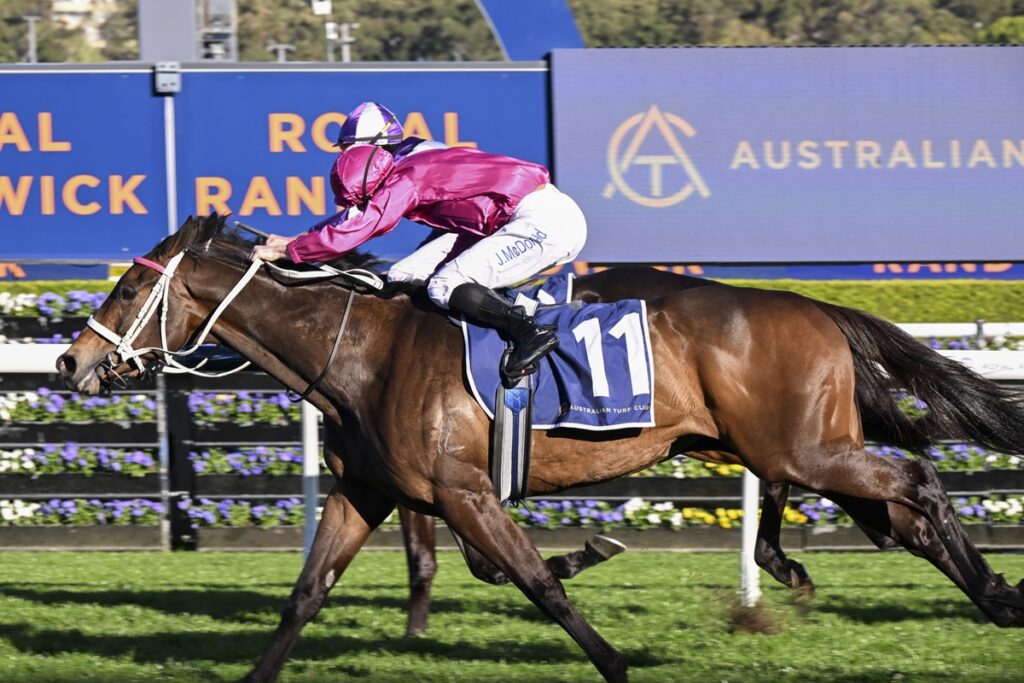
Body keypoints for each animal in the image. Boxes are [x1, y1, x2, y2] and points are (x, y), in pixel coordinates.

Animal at [57, 215, 1024, 683]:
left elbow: (532, 584)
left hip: (803, 450)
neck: (362, 348)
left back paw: (997, 596)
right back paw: (970, 592)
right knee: (903, 511)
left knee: (919, 481)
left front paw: (607, 639)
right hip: (799, 449)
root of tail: (816, 306)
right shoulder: (369, 489)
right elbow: (305, 595)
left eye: (132, 285)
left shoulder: (464, 490)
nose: (73, 359)